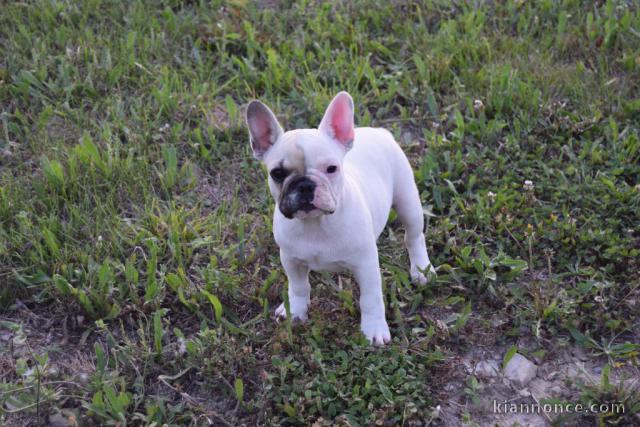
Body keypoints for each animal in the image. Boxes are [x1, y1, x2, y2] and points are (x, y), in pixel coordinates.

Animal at [245, 92, 436, 346]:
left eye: (331, 168)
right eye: (277, 173)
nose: (305, 185)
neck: (316, 223)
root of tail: (378, 131)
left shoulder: (366, 264)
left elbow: (371, 298)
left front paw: (374, 329)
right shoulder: (291, 259)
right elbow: (298, 287)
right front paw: (296, 311)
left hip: (407, 200)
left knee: (414, 236)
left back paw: (421, 269)